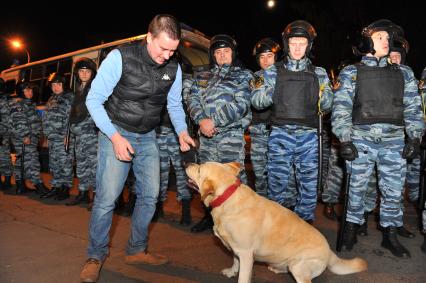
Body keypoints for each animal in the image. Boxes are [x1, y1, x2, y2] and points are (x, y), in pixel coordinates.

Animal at [185, 162, 368, 283]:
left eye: (199, 169)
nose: (187, 162)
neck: (227, 199)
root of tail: (330, 252)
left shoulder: (246, 254)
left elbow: (243, 276)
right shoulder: (236, 249)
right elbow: (234, 261)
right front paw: (231, 271)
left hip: (298, 266)